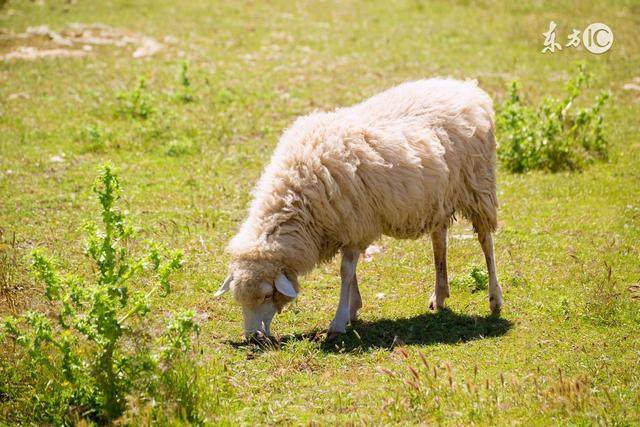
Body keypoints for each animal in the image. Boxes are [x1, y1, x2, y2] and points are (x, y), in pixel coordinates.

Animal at [216, 78, 504, 340]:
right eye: (239, 300)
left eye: (267, 295)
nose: (253, 338)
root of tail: (467, 88)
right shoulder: (346, 226)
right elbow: (350, 271)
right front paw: (352, 309)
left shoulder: (354, 223)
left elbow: (345, 272)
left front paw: (339, 320)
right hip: (438, 197)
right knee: (439, 241)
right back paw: (440, 294)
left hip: (478, 185)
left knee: (486, 241)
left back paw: (495, 299)